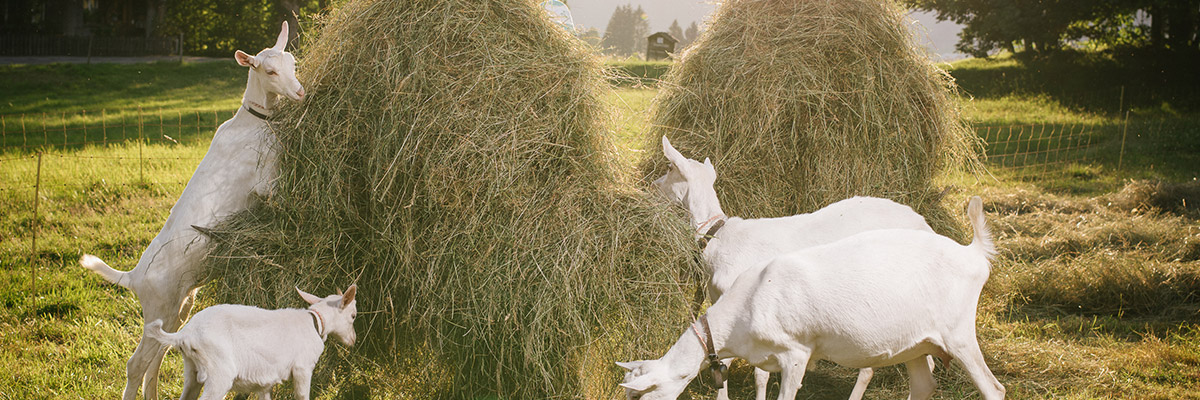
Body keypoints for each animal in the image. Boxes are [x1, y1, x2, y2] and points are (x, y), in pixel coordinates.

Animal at [77, 21, 304, 398]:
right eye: (270, 71)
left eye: (293, 63)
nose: (300, 93)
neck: (253, 123)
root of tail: (133, 277)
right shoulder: (265, 182)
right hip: (160, 305)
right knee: (136, 363)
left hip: (181, 305)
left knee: (159, 354)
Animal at [142, 283, 352, 398]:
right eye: (353, 316)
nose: (353, 340)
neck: (315, 322)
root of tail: (185, 334)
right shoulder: (302, 369)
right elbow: (302, 395)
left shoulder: (265, 385)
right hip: (219, 373)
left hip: (192, 372)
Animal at [619, 195, 1003, 398]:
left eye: (642, 392)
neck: (745, 308)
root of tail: (973, 253)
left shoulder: (796, 353)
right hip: (916, 345)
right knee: (925, 386)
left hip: (959, 334)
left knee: (994, 389)